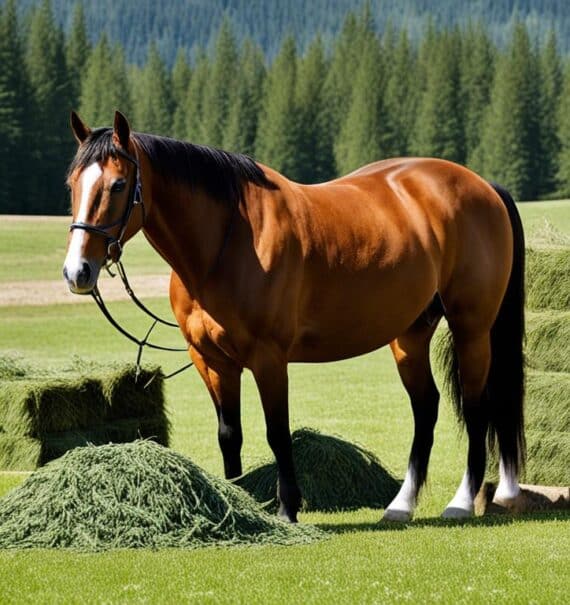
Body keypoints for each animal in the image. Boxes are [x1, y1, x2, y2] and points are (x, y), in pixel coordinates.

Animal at [63, 111, 524, 520]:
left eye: (118, 184)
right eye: (72, 183)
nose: (77, 272)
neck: (229, 241)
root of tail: (482, 185)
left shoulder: (269, 358)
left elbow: (277, 432)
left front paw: (287, 508)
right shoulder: (211, 361)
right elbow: (230, 435)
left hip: (471, 328)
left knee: (478, 408)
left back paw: (460, 502)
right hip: (409, 335)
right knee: (426, 408)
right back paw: (401, 505)